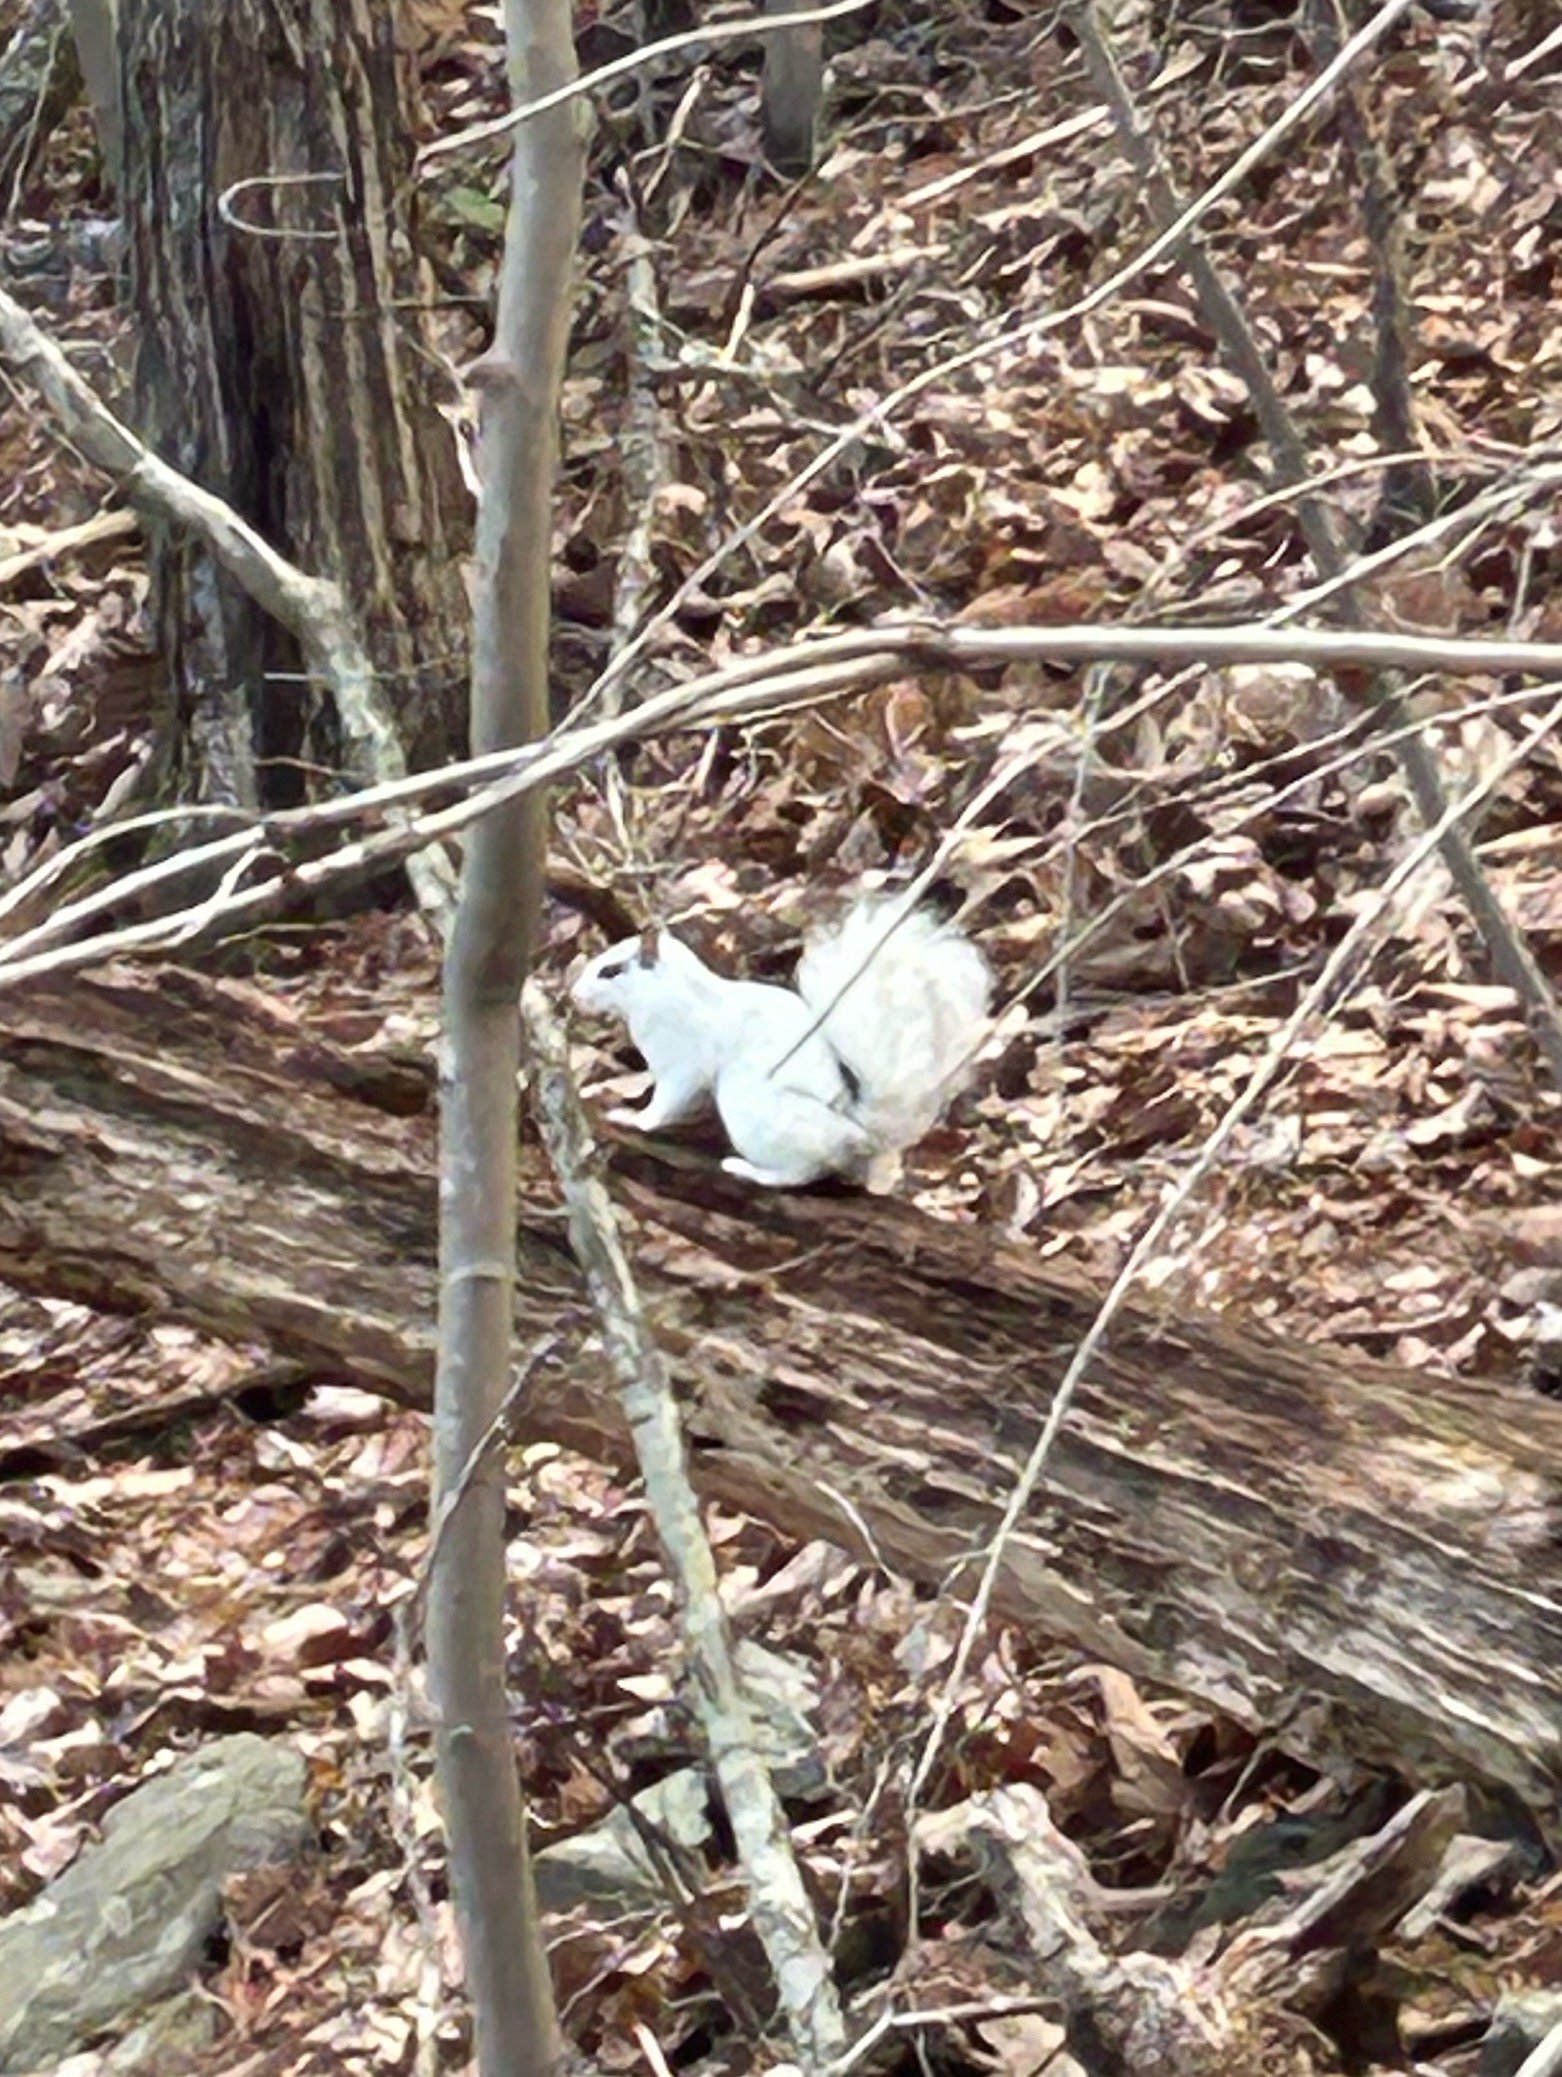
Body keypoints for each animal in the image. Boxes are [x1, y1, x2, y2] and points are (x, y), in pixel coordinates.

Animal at [570, 887, 991, 1189]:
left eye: (610, 971)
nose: (574, 994)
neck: (665, 992)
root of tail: (860, 1130)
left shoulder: (680, 1061)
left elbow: (664, 1102)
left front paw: (632, 1118)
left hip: (752, 1112)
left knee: (799, 1173)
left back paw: (746, 1169)